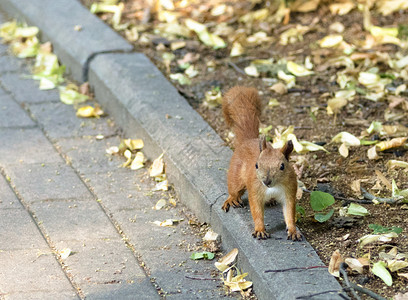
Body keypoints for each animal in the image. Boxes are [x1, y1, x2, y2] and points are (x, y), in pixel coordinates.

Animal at [222, 85, 302, 240]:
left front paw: (293, 230)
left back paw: (270, 201)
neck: (273, 187)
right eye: (256, 165)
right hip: (236, 175)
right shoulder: (255, 191)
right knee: (233, 188)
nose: (266, 181)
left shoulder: (289, 191)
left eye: (282, 166)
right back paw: (232, 199)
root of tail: (248, 140)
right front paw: (260, 229)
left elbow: (289, 212)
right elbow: (257, 211)